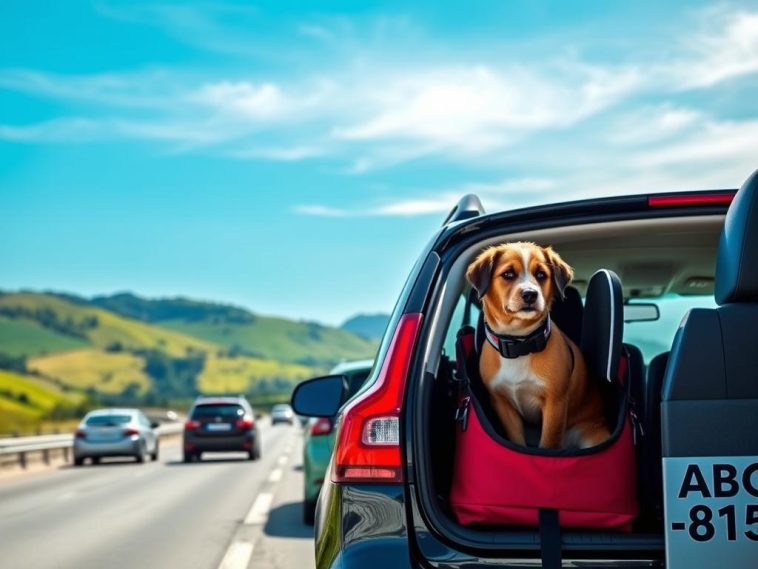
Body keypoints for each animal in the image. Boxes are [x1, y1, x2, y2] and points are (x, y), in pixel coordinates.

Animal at [466, 240, 616, 448]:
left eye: (541, 275)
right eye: (508, 274)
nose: (530, 294)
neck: (519, 344)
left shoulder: (555, 403)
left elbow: (549, 442)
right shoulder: (503, 405)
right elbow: (517, 439)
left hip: (591, 435)